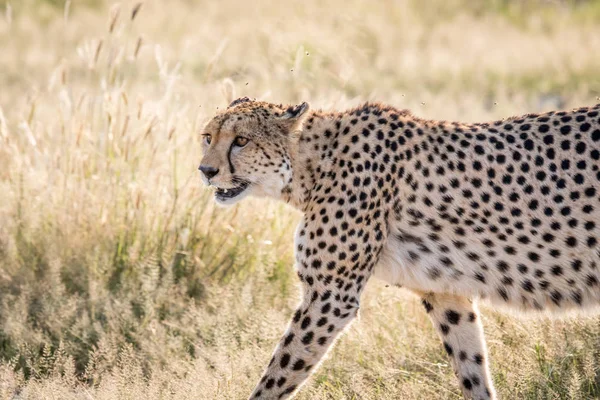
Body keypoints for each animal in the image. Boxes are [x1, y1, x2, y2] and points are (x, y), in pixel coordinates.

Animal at [198, 97, 600, 400]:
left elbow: (279, 372)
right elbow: (472, 366)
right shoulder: (445, 294)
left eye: (241, 141)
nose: (206, 170)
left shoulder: (330, 296)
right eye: (207, 137)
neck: (311, 165)